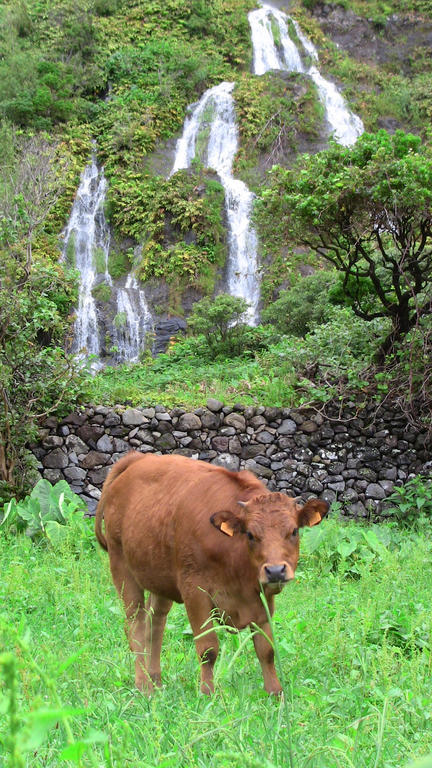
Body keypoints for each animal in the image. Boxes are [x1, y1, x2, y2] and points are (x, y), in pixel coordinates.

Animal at [95, 450, 328, 696]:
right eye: (250, 534)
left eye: (294, 531)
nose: (275, 570)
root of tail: (139, 457)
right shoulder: (194, 592)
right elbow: (208, 648)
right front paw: (207, 692)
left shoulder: (263, 598)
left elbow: (266, 649)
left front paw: (275, 693)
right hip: (122, 568)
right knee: (136, 626)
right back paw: (144, 686)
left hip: (159, 577)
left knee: (155, 623)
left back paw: (156, 680)